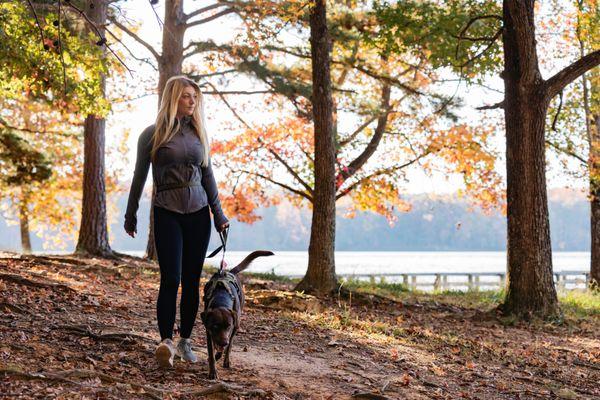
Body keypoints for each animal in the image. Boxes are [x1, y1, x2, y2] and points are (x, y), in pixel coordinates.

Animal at [203, 250, 276, 378]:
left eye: (228, 326)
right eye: (215, 326)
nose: (224, 342)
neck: (222, 299)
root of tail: (229, 272)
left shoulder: (232, 328)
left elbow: (227, 346)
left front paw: (220, 355)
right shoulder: (209, 331)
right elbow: (211, 352)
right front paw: (212, 371)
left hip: (237, 323)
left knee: (230, 345)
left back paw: (226, 359)